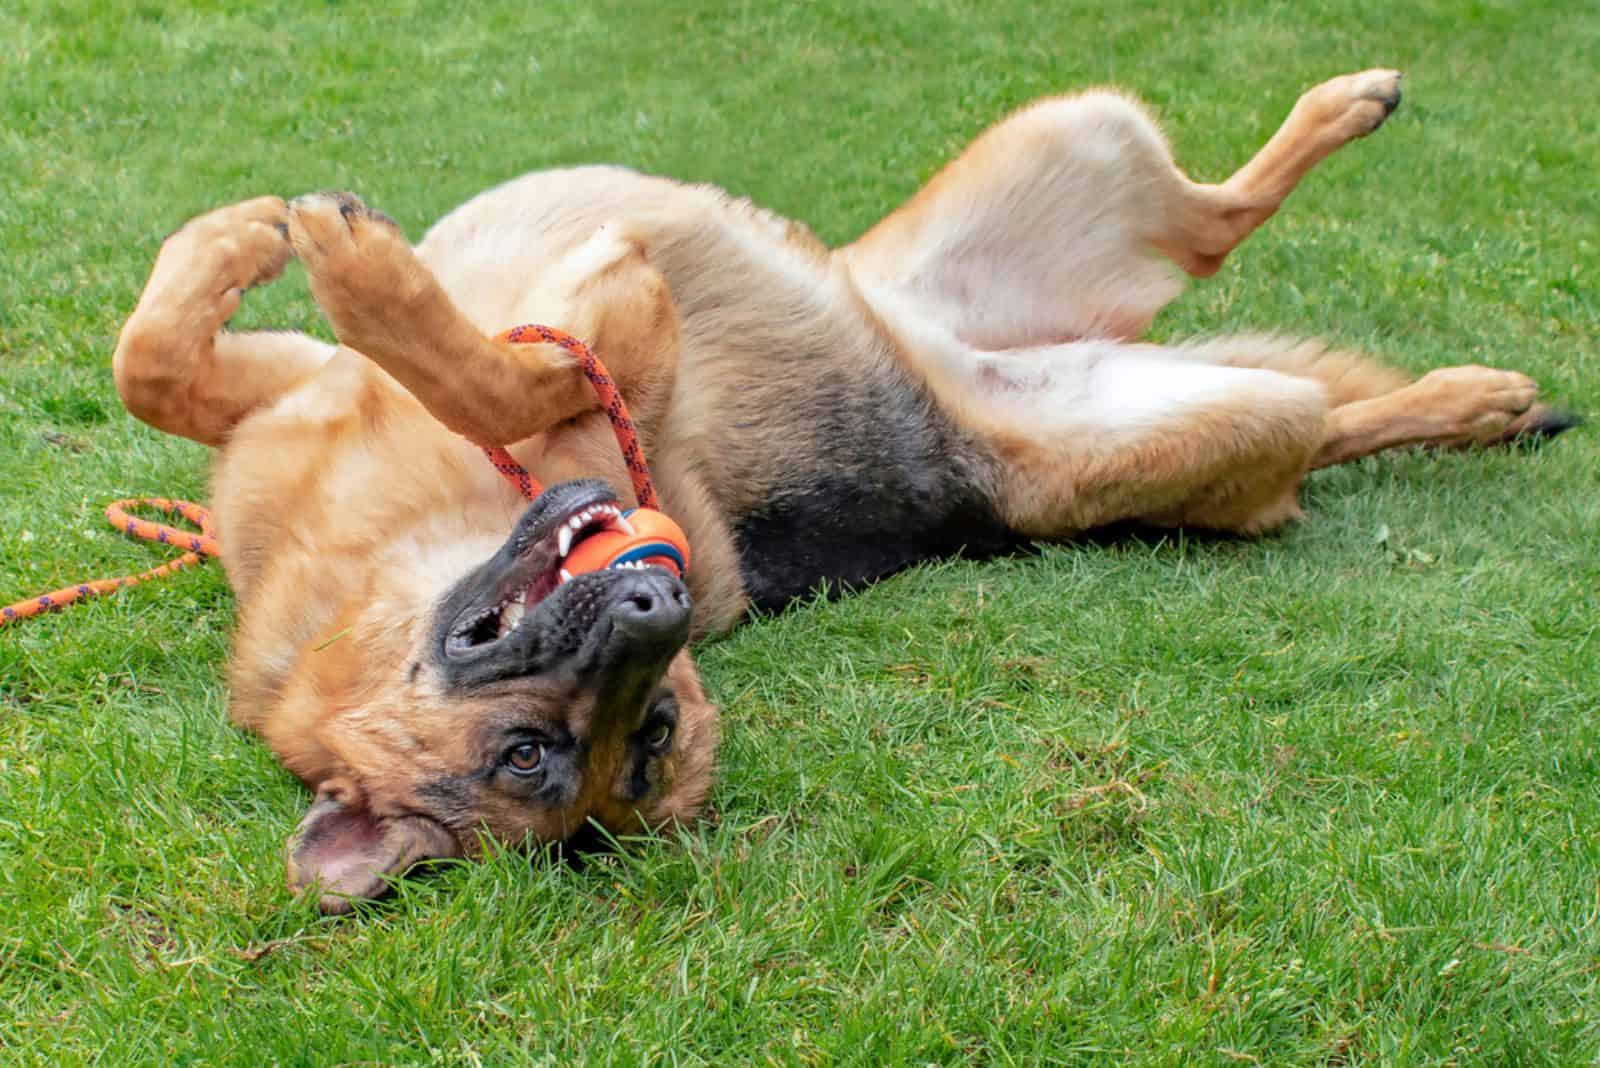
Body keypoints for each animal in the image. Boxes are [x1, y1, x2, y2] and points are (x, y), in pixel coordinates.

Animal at [116, 70, 1574, 914]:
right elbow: (477, 374)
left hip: (1064, 141)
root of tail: (980, 391)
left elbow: (165, 364)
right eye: (538, 758)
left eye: (650, 724)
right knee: (1296, 376)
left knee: (1217, 227)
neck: (381, 557)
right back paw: (1477, 398)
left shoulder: (309, 383)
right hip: (1181, 422)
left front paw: (269, 244)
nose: (661, 603)